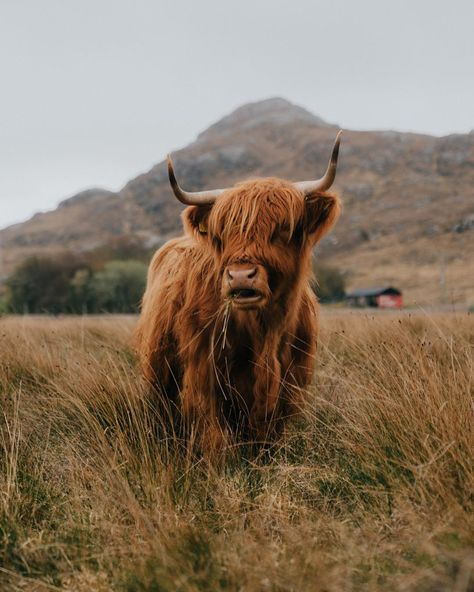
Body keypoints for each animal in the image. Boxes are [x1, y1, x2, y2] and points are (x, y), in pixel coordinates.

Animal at [135, 132, 342, 450]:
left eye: (283, 229)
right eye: (223, 233)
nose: (241, 276)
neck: (264, 331)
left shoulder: (289, 387)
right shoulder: (204, 378)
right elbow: (214, 440)